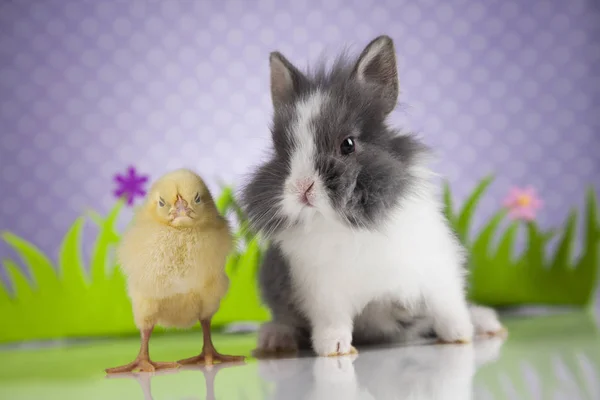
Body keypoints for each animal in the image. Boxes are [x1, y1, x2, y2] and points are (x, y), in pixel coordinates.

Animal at [241, 32, 504, 354]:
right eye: (282, 151)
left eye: (348, 144)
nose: (302, 187)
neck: (351, 225)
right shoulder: (322, 290)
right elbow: (332, 321)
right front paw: (334, 348)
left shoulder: (436, 268)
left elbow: (447, 306)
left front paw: (459, 335)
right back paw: (274, 339)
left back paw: (486, 324)